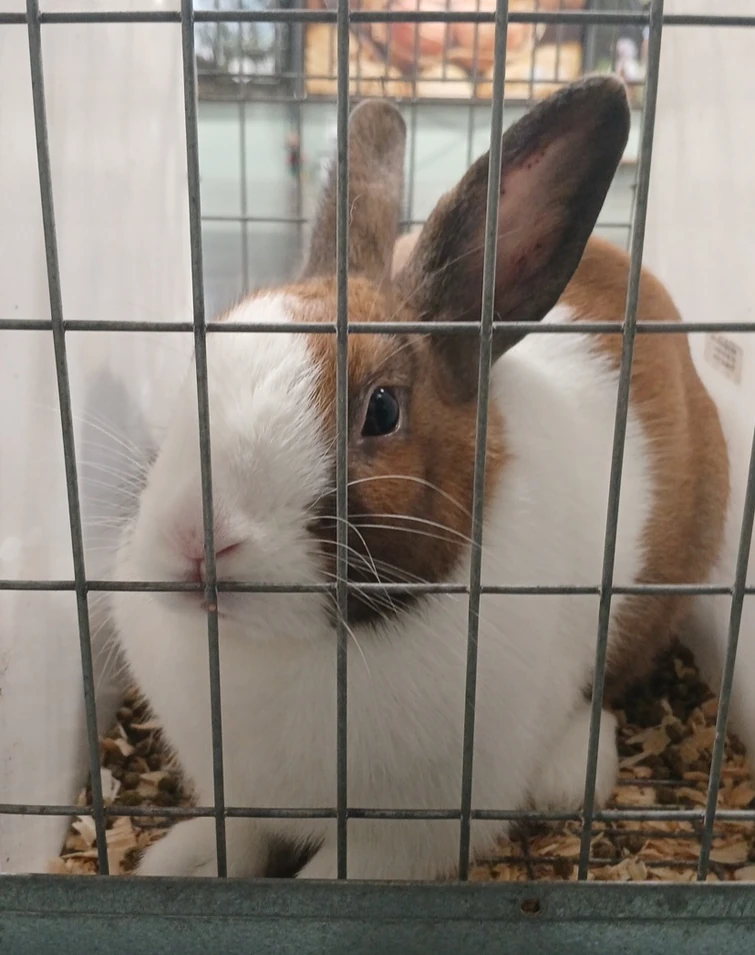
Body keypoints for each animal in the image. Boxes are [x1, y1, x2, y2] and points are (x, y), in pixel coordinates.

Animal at [111, 75, 737, 881]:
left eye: (381, 410)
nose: (194, 539)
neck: (293, 649)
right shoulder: (244, 796)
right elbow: (234, 842)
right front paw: (174, 864)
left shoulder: (407, 835)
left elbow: (328, 878)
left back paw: (571, 769)